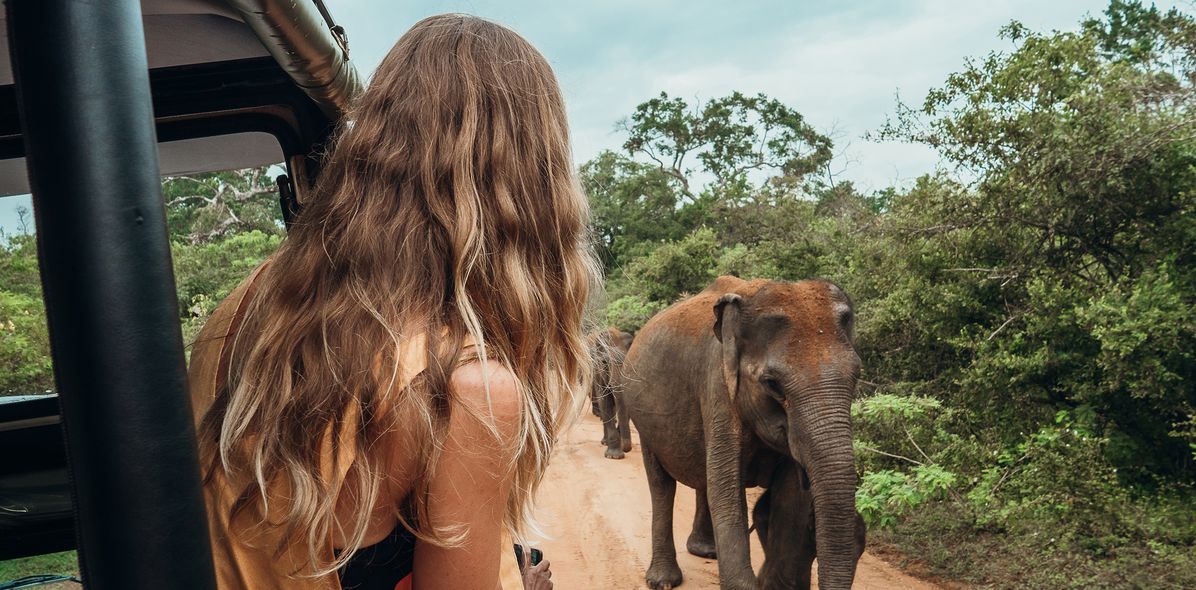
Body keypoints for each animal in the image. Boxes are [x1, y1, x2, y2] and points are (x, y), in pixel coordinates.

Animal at [588, 327, 636, 457]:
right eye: (605, 362)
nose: (626, 449)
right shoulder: (598, 372)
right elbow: (604, 402)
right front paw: (614, 456)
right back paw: (605, 442)